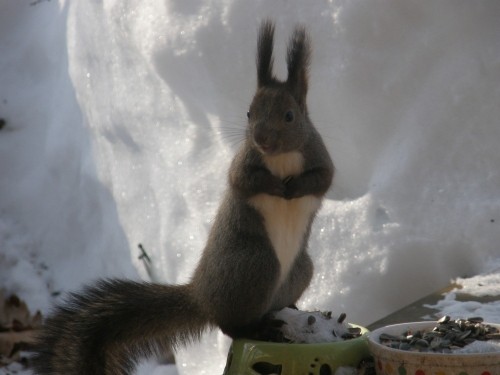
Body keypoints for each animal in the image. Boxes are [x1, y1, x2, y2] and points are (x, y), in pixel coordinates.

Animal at [33, 21, 334, 375]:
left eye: (289, 116)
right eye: (249, 113)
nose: (261, 139)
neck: (282, 157)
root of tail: (201, 296)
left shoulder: (318, 155)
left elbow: (322, 179)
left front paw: (294, 188)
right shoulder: (243, 162)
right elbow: (242, 181)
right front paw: (275, 186)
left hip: (299, 269)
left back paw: (288, 313)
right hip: (255, 267)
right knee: (230, 325)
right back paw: (260, 328)